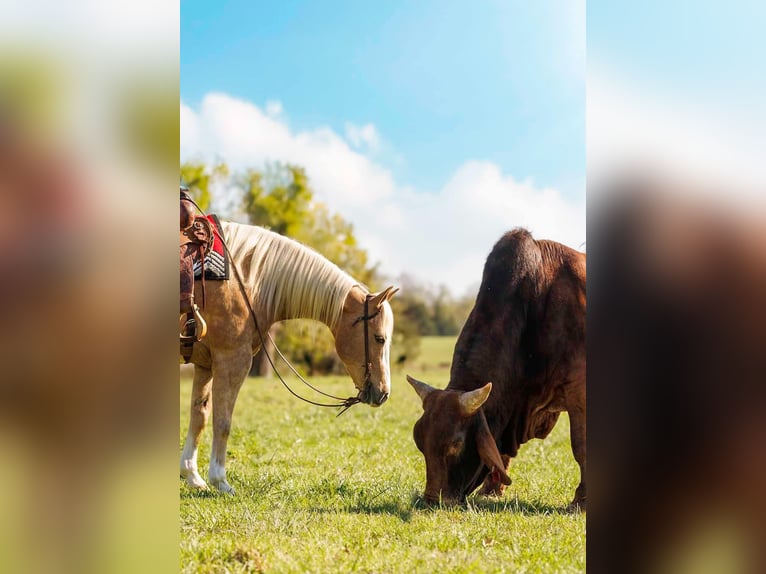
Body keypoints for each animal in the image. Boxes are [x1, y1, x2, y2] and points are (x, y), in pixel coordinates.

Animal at [180, 221, 398, 493]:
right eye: (380, 338)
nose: (384, 393)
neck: (246, 282)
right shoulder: (233, 360)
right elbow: (223, 421)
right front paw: (220, 480)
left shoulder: (205, 364)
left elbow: (199, 415)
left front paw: (192, 475)